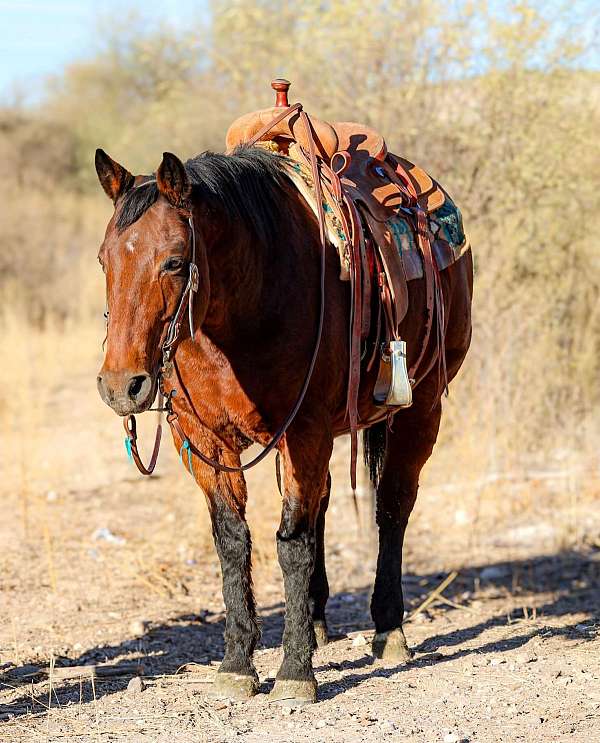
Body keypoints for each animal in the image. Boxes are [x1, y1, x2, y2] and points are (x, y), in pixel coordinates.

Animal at [95, 144, 474, 704]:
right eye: (105, 259)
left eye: (174, 260)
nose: (122, 386)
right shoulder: (205, 439)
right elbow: (234, 541)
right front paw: (237, 663)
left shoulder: (304, 431)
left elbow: (291, 543)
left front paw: (295, 671)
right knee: (324, 504)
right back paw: (315, 621)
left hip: (421, 408)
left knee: (392, 507)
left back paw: (388, 629)